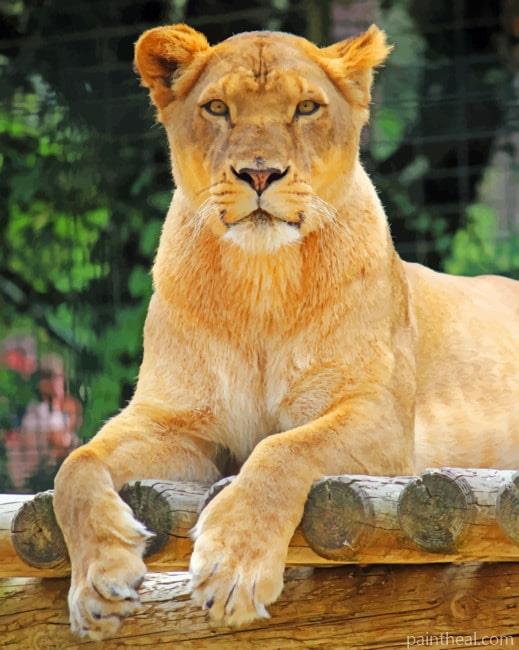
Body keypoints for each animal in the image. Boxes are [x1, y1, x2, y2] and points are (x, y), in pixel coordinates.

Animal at [53, 24, 519, 640]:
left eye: (306, 108)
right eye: (218, 108)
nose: (259, 173)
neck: (261, 281)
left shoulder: (380, 419)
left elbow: (284, 449)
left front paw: (233, 566)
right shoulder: (173, 421)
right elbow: (74, 467)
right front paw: (97, 581)